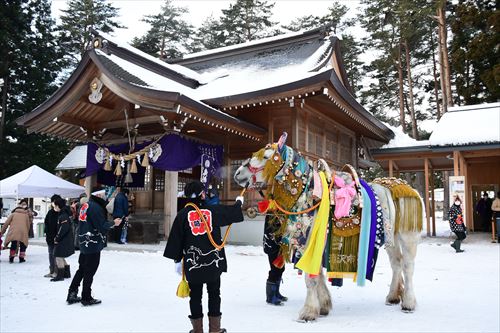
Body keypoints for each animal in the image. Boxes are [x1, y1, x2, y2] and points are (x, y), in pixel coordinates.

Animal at [232, 132, 424, 322]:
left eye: (266, 157)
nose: (238, 174)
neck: (309, 195)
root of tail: (409, 189)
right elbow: (317, 274)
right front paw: (323, 305)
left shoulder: (311, 240)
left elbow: (311, 277)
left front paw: (308, 312)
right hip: (390, 237)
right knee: (396, 263)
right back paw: (393, 296)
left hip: (407, 237)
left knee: (407, 266)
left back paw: (408, 303)